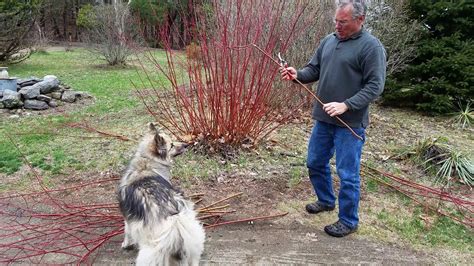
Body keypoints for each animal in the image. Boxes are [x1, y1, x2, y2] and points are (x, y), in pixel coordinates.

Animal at [117, 123, 205, 264]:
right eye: (172, 145)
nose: (186, 145)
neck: (147, 161)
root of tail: (173, 217)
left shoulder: (127, 216)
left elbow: (127, 230)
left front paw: (126, 244)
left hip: (152, 249)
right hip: (193, 239)